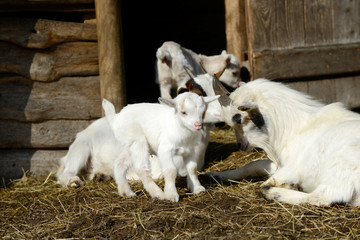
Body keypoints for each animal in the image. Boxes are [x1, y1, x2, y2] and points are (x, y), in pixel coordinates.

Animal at [208, 78, 360, 205]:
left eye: (238, 118)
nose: (240, 145)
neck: (295, 127)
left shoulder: (292, 168)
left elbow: (267, 181)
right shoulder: (281, 164)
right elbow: (254, 165)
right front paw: (215, 175)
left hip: (342, 163)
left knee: (321, 197)